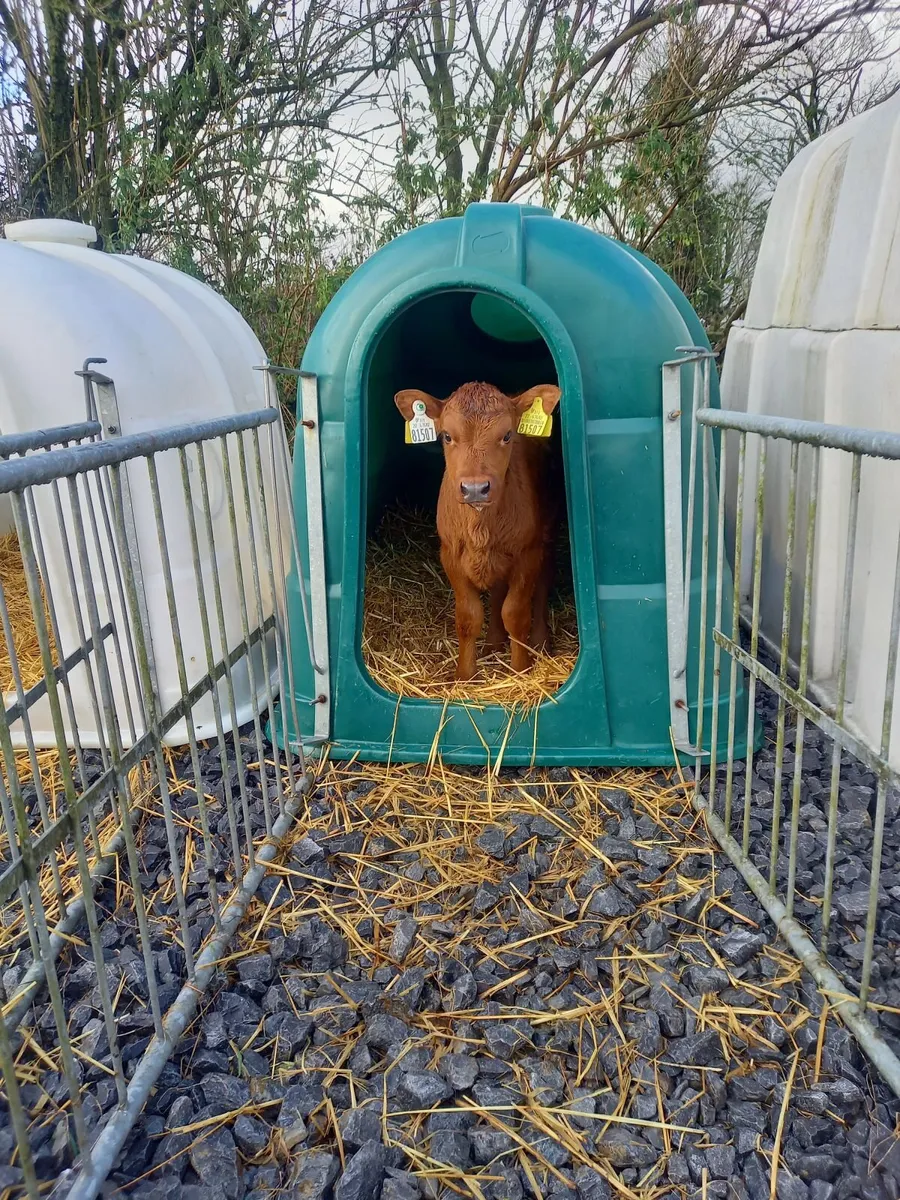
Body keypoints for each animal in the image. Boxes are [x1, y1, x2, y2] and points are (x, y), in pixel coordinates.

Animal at [394, 381, 562, 681]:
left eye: (507, 435)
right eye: (447, 436)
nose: (475, 488)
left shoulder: (527, 553)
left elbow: (515, 613)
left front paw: (520, 669)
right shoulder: (450, 554)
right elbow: (468, 616)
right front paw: (464, 675)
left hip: (548, 528)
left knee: (543, 581)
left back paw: (540, 641)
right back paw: (493, 643)